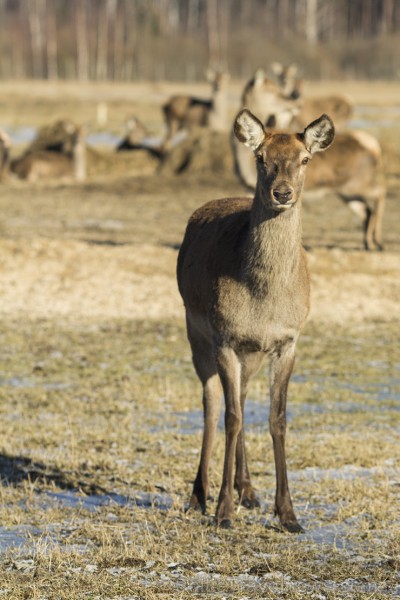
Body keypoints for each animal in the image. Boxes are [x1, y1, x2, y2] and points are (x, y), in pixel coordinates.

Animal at [177, 110, 334, 532]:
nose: (282, 193)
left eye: (305, 159)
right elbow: (230, 417)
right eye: (261, 157)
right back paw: (198, 496)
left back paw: (248, 489)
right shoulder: (224, 338)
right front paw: (223, 512)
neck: (263, 300)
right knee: (213, 404)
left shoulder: (287, 341)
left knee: (243, 398)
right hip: (196, 332)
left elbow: (277, 418)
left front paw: (289, 513)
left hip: (252, 354)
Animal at [233, 72, 386, 251]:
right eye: (259, 157)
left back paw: (378, 242)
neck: (242, 164)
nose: (295, 103)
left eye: (305, 159)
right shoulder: (248, 188)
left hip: (358, 182)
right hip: (347, 191)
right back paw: (368, 242)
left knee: (380, 192)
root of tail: (374, 146)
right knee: (366, 210)